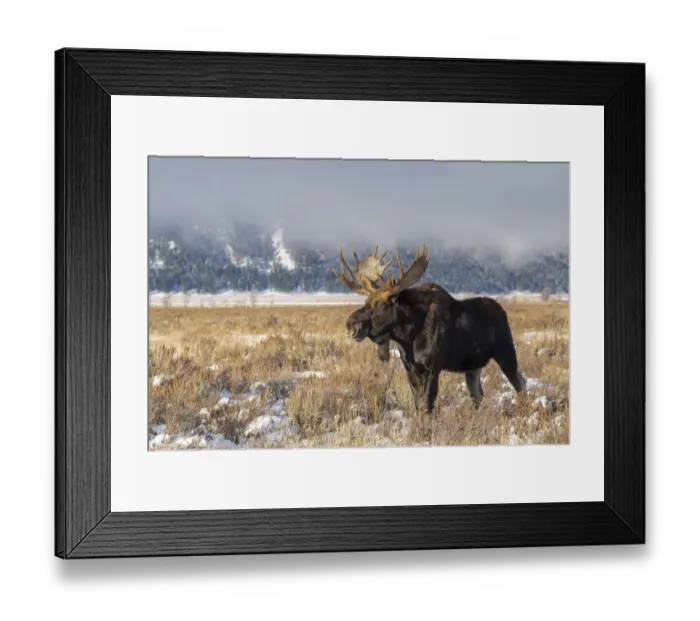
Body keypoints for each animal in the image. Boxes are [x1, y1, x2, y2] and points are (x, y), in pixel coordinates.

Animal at [333, 245, 526, 416]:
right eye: (366, 302)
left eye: (382, 304)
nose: (351, 324)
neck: (408, 338)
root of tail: (502, 310)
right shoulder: (410, 368)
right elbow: (418, 404)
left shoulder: (433, 368)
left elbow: (427, 405)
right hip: (473, 367)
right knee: (478, 395)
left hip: (506, 352)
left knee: (520, 383)